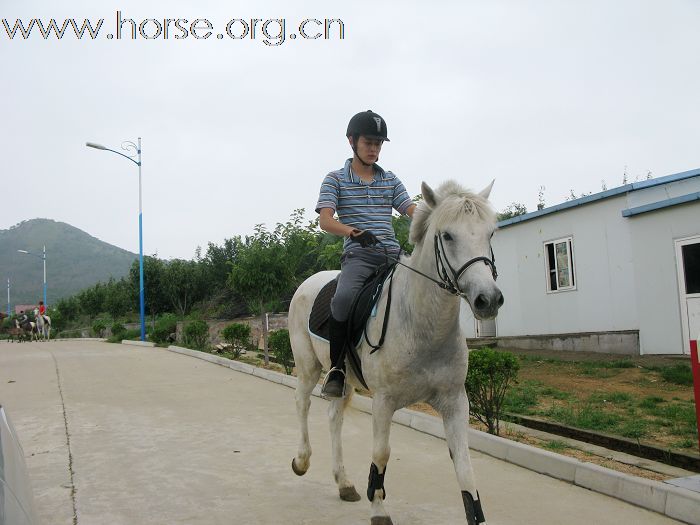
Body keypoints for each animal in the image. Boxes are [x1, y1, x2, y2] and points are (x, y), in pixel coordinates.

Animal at [288, 178, 504, 520]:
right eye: (447, 235)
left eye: (490, 233)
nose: (488, 299)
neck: (422, 325)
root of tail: (309, 283)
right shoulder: (384, 401)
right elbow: (381, 454)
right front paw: (378, 507)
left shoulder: (455, 401)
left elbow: (465, 469)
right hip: (308, 367)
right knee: (302, 403)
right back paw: (302, 460)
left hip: (344, 379)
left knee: (334, 416)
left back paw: (344, 482)